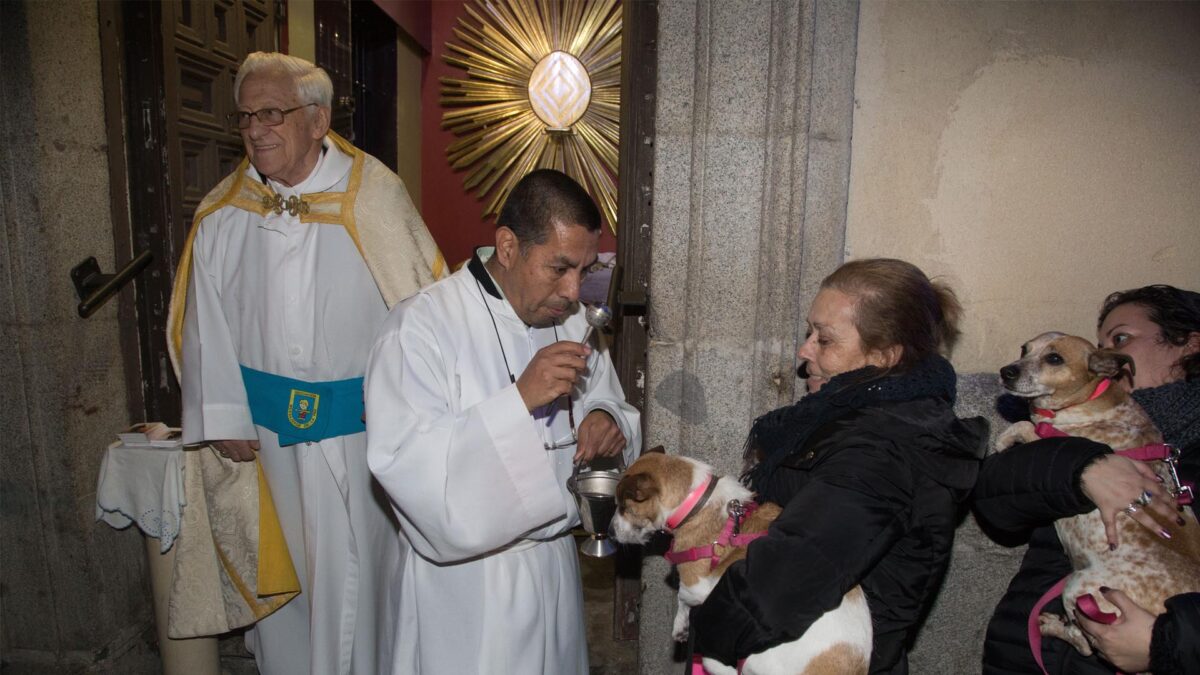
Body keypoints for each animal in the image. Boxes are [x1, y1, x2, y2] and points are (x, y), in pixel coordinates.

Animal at [614, 446, 868, 672]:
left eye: (624, 507)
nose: (609, 531)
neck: (697, 505)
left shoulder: (698, 586)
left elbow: (682, 596)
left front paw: (680, 624)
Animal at [993, 329, 1200, 658]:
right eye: (1024, 349)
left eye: (1054, 358)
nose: (1006, 371)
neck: (1086, 399)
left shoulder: (1053, 436)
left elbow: (1027, 427)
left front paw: (1004, 439)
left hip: (1078, 586)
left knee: (1085, 645)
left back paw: (1051, 626)